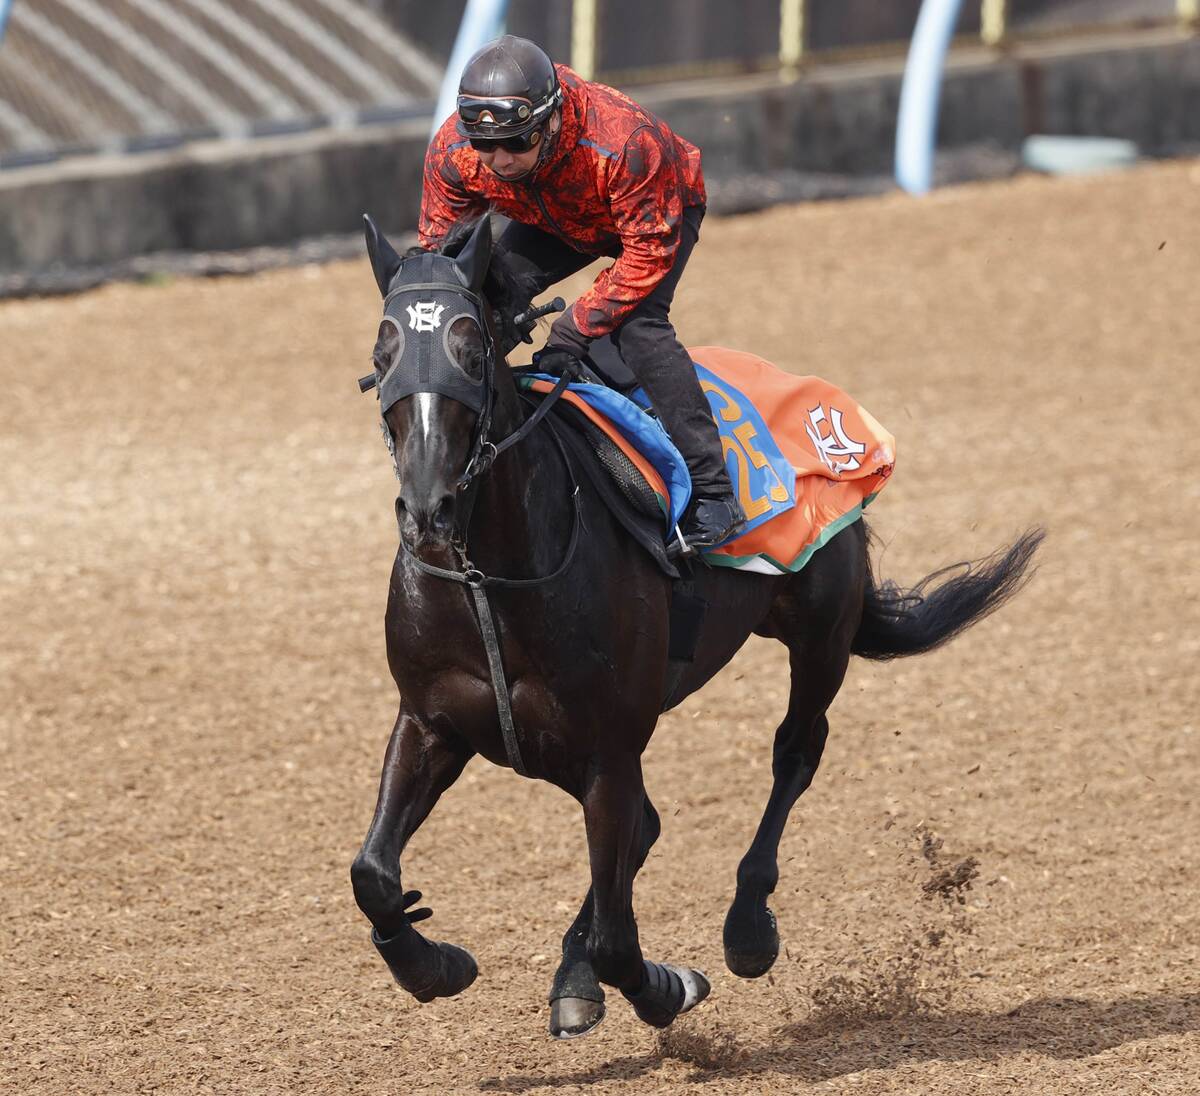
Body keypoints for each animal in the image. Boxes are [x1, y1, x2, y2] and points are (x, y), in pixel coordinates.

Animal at [349, 212, 1043, 1039]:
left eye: (472, 348)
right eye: (382, 353)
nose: (429, 509)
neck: (493, 579)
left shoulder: (610, 750)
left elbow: (619, 939)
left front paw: (664, 986)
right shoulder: (431, 722)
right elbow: (372, 874)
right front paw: (434, 965)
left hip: (820, 632)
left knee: (794, 753)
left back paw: (745, 928)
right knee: (648, 830)